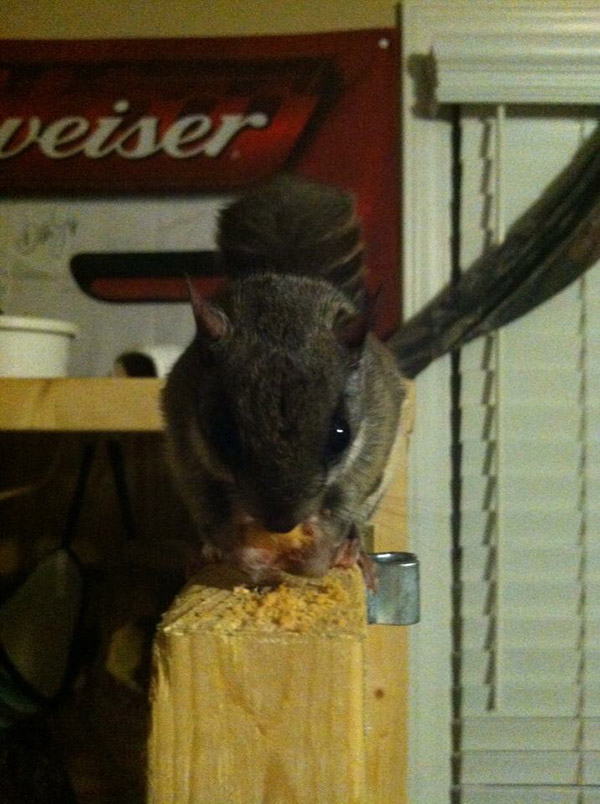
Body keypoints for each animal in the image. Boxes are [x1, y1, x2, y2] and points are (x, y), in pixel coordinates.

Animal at [162, 176, 406, 588]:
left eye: (340, 435)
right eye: (222, 433)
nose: (281, 523)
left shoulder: (377, 428)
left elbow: (347, 496)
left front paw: (320, 551)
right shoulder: (183, 433)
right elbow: (209, 505)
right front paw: (243, 555)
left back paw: (354, 550)